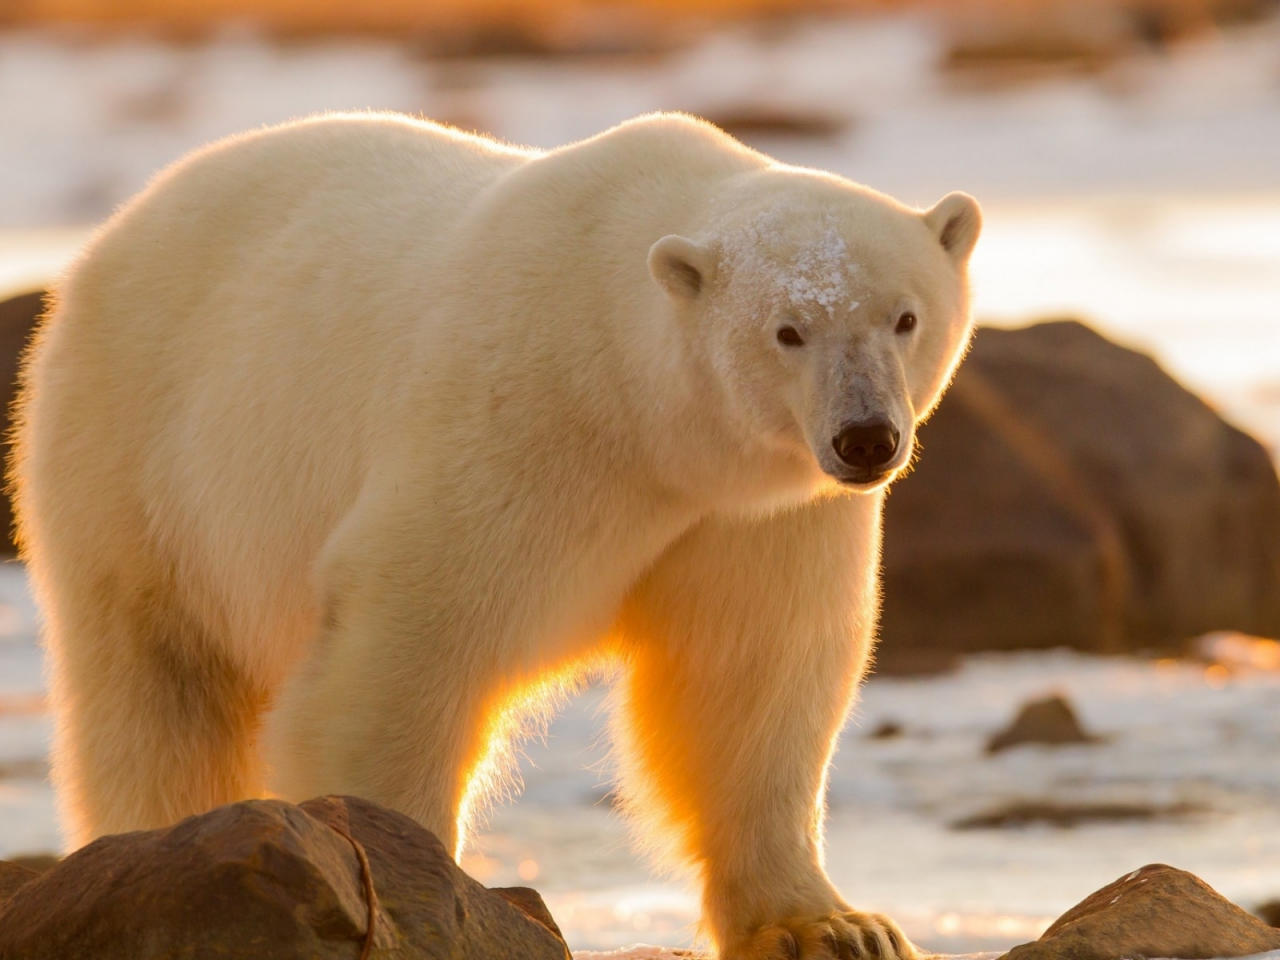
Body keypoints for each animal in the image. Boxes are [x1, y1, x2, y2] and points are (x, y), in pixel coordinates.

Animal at [12, 114, 977, 960]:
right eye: (788, 331)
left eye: (904, 317)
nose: (865, 438)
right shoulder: (518, 419)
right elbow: (409, 641)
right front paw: (409, 892)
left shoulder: (755, 515)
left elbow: (750, 677)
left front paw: (838, 927)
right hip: (139, 458)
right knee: (159, 688)